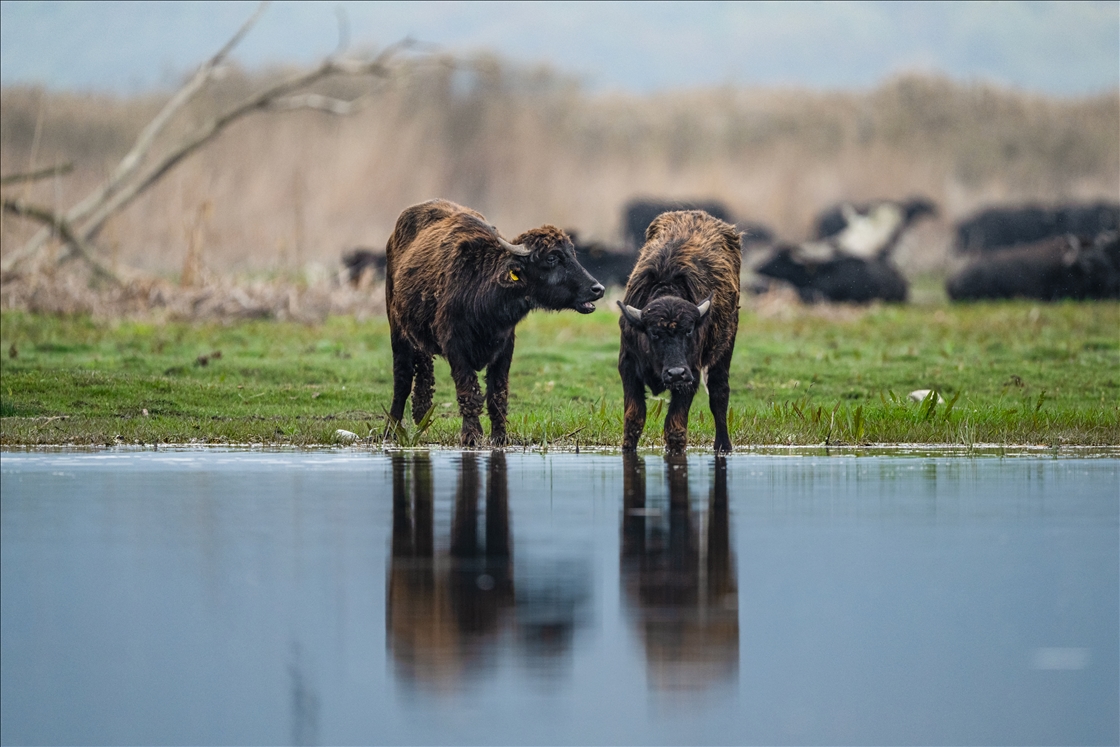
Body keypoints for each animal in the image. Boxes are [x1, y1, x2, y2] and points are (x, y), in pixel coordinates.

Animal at [385, 199, 605, 446]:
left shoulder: (505, 348)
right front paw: (471, 435)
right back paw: (389, 431)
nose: (597, 289)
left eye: (572, 254)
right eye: (551, 258)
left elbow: (497, 396)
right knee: (402, 380)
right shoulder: (455, 348)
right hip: (397, 328)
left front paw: (500, 437)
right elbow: (468, 392)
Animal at [617, 210, 741, 454]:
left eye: (689, 330)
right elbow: (634, 419)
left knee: (719, 393)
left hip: (726, 346)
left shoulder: (690, 374)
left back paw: (723, 446)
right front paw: (628, 449)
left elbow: (675, 426)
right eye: (654, 333)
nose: (675, 373)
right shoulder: (627, 365)